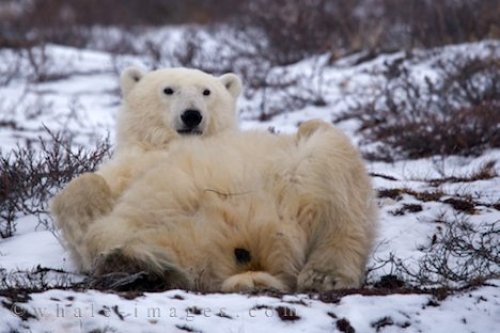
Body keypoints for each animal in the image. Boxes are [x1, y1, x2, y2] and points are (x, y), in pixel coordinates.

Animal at [51, 66, 243, 272]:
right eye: (168, 90)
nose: (192, 115)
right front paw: (87, 220)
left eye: (206, 91)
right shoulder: (128, 168)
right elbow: (91, 184)